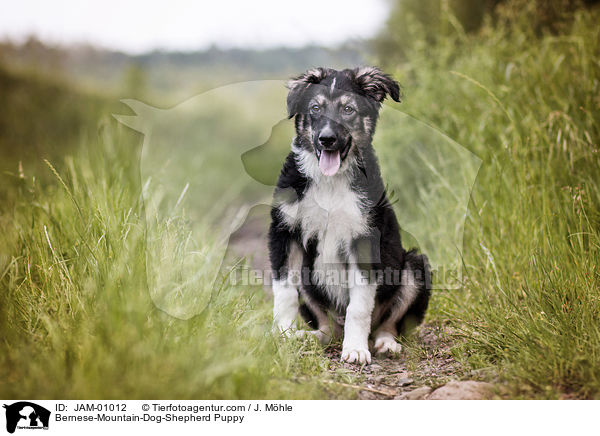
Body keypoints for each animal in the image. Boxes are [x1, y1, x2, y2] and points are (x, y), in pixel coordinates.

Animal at [268, 65, 432, 364]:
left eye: (348, 110)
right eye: (315, 108)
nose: (327, 139)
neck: (330, 182)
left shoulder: (364, 240)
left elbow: (359, 306)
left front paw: (355, 349)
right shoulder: (284, 232)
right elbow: (284, 292)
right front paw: (281, 335)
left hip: (415, 266)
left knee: (389, 323)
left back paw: (385, 344)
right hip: (310, 281)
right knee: (328, 327)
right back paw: (309, 338)